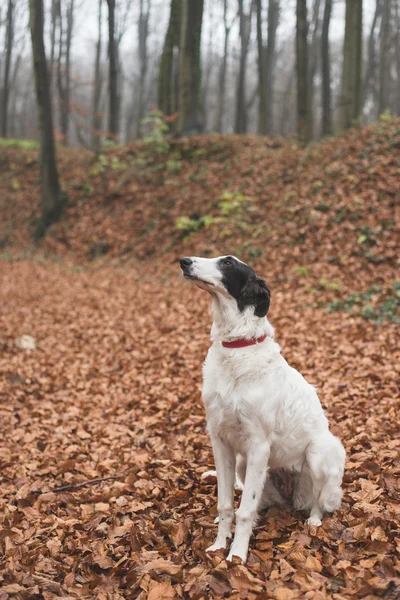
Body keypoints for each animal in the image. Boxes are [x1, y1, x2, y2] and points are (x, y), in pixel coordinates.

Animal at [180, 256, 346, 564]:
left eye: (228, 263)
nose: (184, 261)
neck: (237, 348)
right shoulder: (220, 440)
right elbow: (226, 505)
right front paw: (219, 545)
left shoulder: (258, 445)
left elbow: (244, 511)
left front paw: (237, 556)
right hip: (245, 465)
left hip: (318, 453)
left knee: (319, 501)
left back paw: (314, 520)